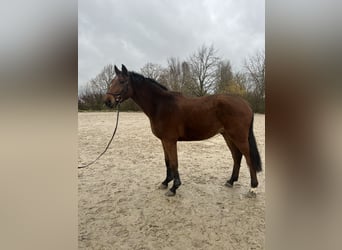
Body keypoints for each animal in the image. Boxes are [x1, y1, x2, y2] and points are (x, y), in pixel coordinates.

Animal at [104, 63, 262, 196]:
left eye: (122, 81)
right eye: (111, 81)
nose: (107, 101)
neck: (160, 105)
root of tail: (246, 104)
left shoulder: (170, 141)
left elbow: (174, 163)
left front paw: (174, 187)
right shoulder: (164, 141)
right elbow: (167, 161)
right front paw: (165, 182)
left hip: (239, 137)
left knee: (248, 158)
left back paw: (253, 188)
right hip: (227, 135)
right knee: (237, 156)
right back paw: (231, 181)